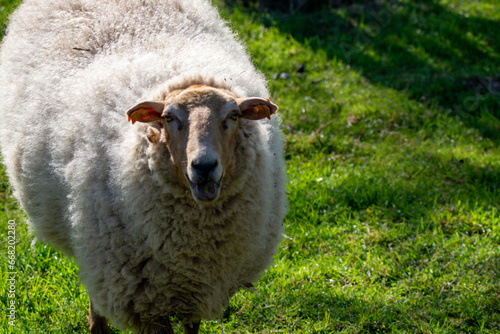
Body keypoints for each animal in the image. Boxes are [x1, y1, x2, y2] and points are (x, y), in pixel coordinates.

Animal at [0, 1, 288, 332]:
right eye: (168, 118)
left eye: (233, 116)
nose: (204, 165)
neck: (196, 250)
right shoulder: (144, 301)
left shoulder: (197, 292)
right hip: (93, 249)